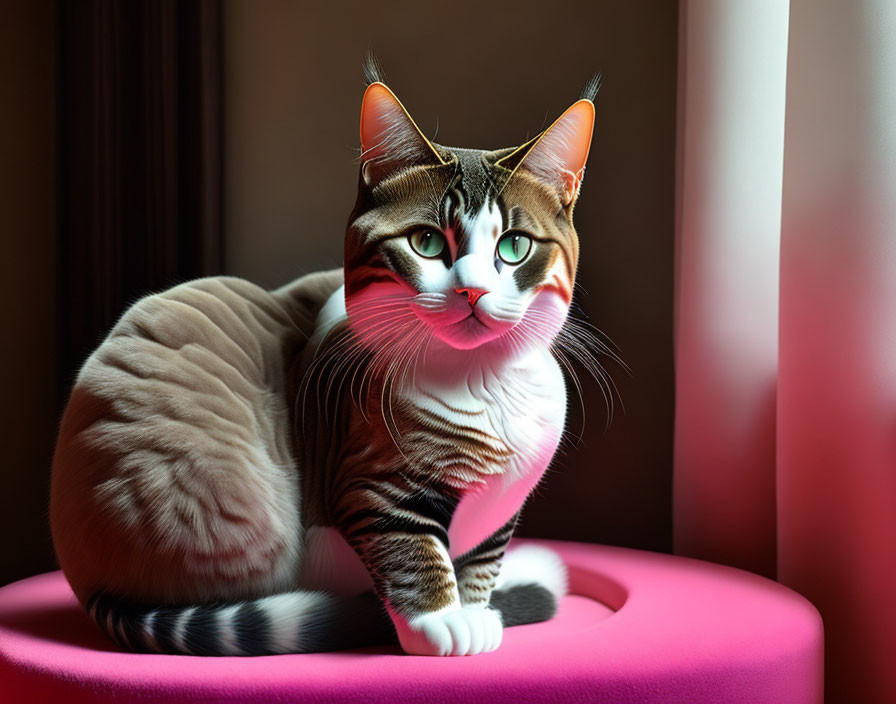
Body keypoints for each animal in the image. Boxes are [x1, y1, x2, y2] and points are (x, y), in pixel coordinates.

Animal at [49, 63, 600, 656]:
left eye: (515, 247)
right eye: (427, 242)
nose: (472, 291)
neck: (483, 381)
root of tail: (90, 584)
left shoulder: (500, 511)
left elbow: (482, 560)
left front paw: (476, 610)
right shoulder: (367, 479)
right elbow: (407, 545)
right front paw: (440, 622)